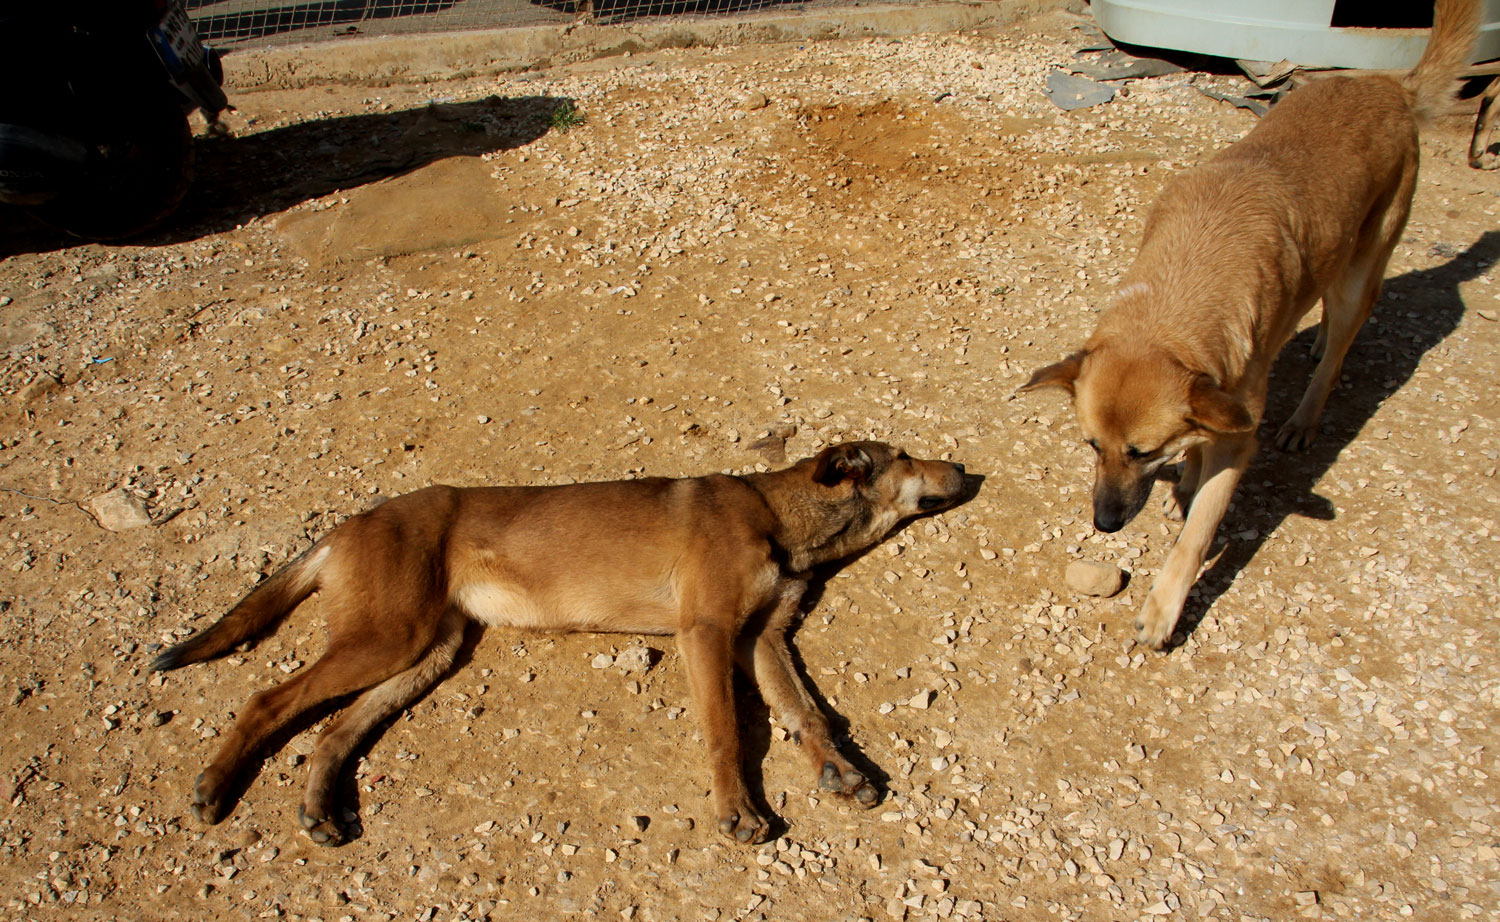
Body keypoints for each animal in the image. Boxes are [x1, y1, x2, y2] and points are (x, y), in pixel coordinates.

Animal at [152, 443, 966, 845]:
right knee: (266, 699)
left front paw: (842, 770)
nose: (964, 467)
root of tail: (351, 523)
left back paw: (320, 807)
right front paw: (737, 811)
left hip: (426, 652)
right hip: (389, 638)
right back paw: (215, 785)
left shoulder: (760, 638)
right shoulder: (706, 634)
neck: (779, 514)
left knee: (330, 731)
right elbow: (728, 732)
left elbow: (805, 714)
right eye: (902, 455)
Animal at [1020, 0, 1476, 650]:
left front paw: (1163, 609)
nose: (1104, 524)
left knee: (1339, 348)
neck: (1172, 306)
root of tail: (1388, 84)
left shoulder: (1240, 438)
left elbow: (1196, 536)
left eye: (1141, 451)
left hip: (1361, 271)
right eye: (1090, 444)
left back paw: (1305, 417)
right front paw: (1185, 479)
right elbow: (1197, 445)